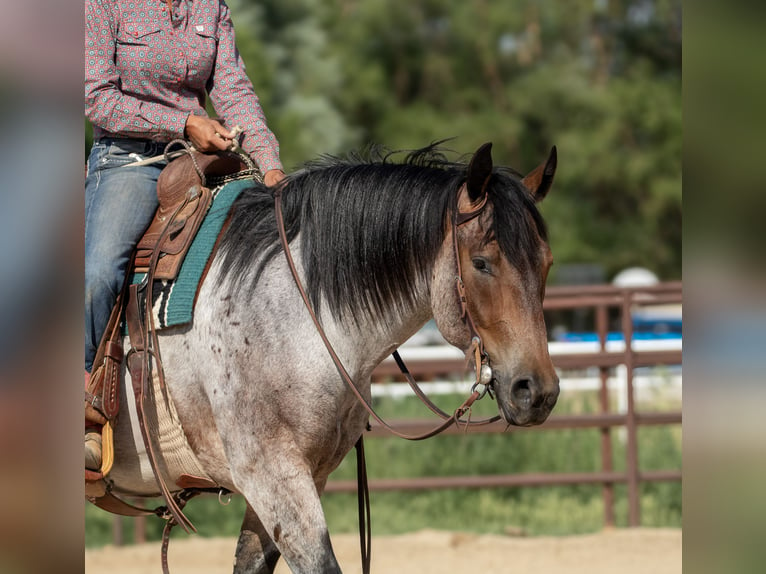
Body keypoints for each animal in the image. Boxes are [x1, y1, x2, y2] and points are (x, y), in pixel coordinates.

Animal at [108, 141, 560, 574]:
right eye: (481, 263)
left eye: (547, 264)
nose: (537, 391)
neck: (292, 311)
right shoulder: (272, 476)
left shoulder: (300, 480)